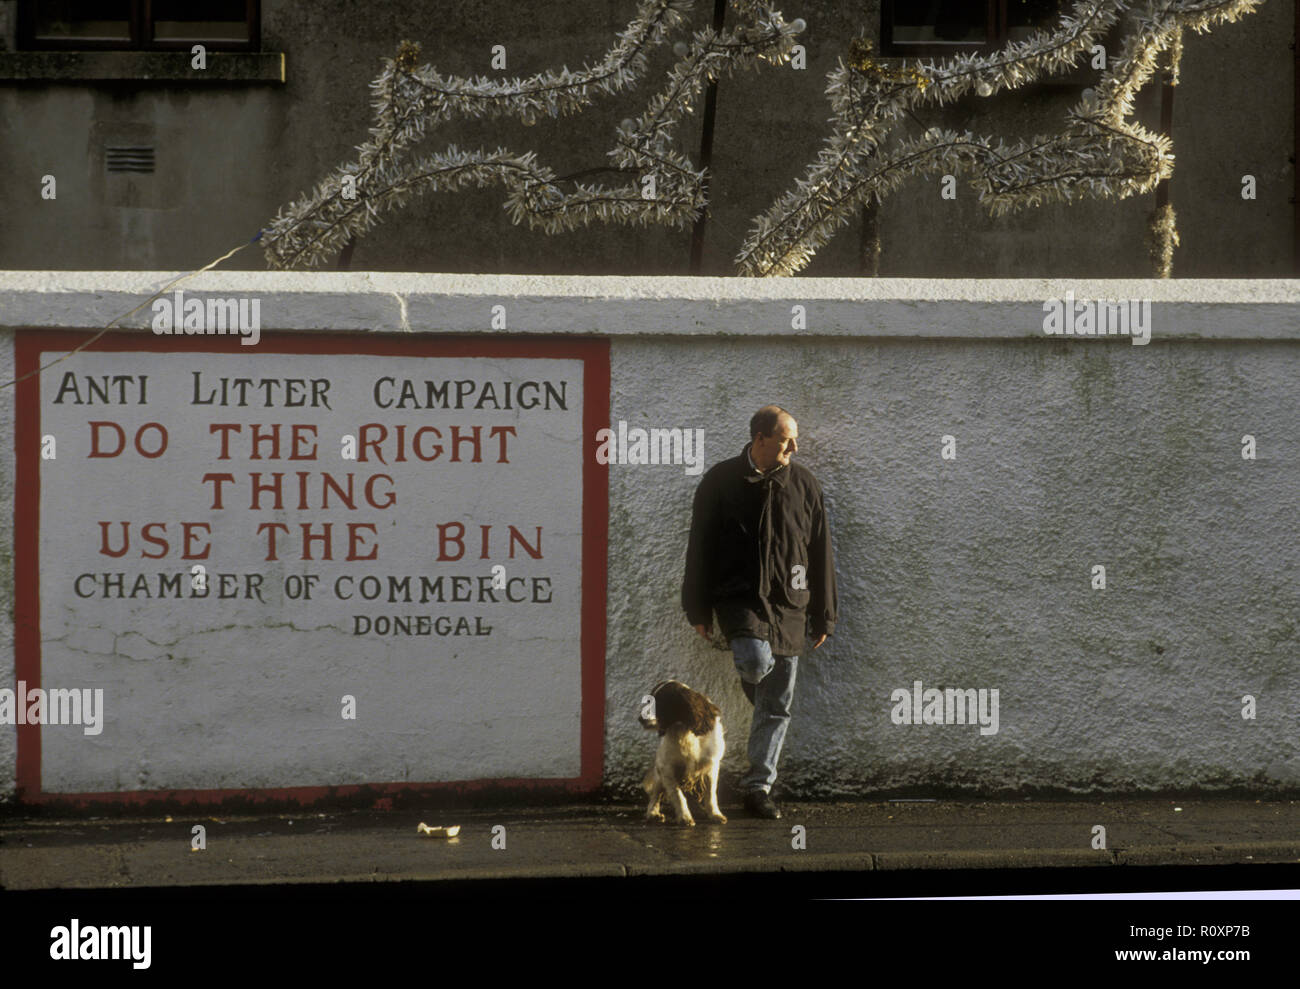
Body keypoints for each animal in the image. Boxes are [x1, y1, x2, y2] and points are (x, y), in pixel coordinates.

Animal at [637, 680, 728, 826]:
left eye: (661, 702)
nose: (640, 718)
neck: (684, 730)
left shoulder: (711, 766)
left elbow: (710, 794)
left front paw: (715, 814)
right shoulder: (667, 768)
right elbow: (678, 795)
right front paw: (685, 817)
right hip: (659, 775)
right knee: (655, 796)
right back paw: (653, 813)